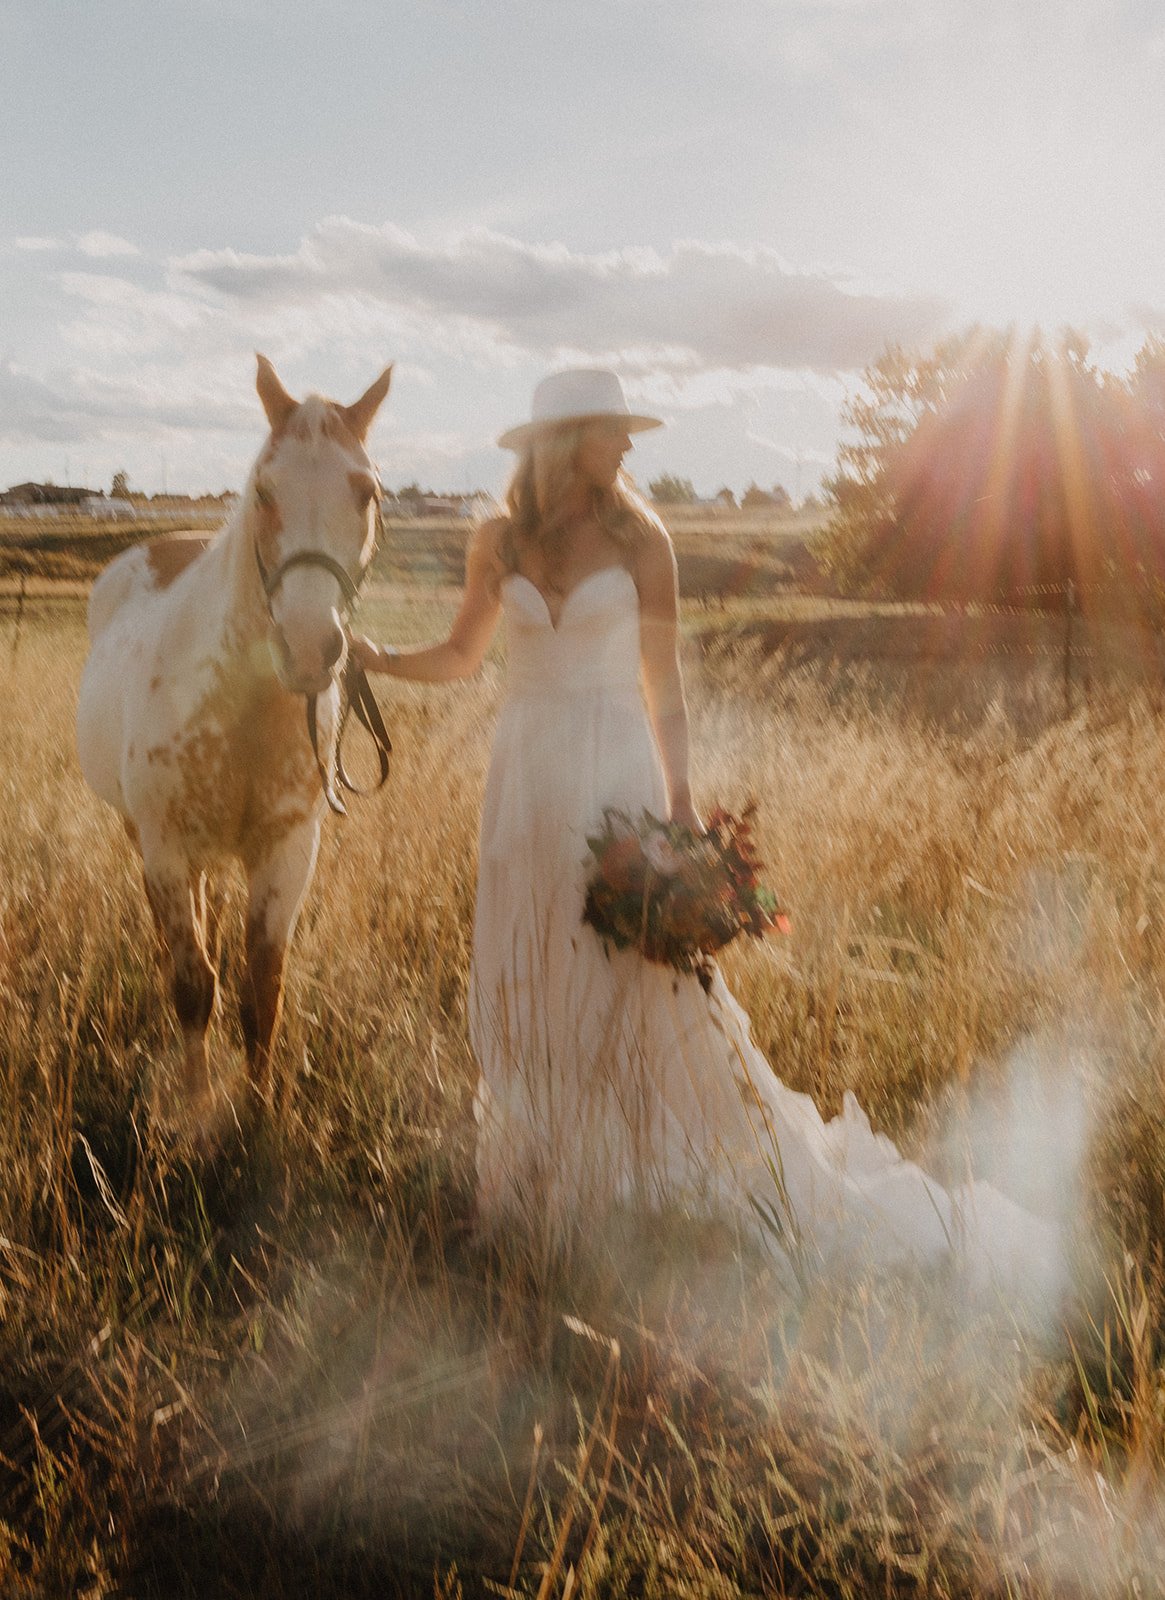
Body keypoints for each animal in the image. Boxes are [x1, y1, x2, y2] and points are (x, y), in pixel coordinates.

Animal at [78, 356, 395, 1120]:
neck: (243, 710)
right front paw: (196, 1113)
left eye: (366, 492)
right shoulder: (165, 847)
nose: (308, 646)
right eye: (265, 490)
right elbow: (194, 987)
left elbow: (261, 996)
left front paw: (259, 1114)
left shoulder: (287, 853)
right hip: (147, 838)